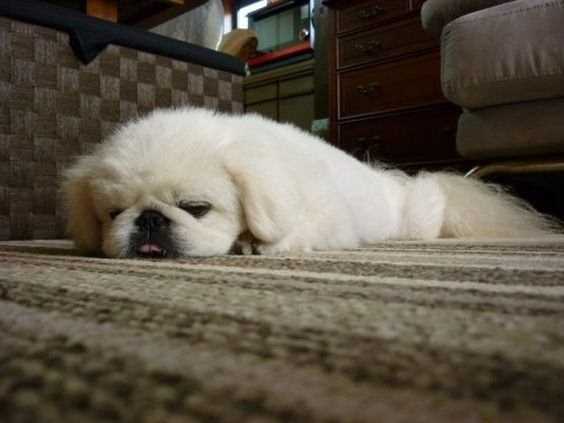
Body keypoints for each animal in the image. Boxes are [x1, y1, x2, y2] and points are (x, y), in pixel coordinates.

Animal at [60, 107, 556, 258]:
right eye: (113, 214)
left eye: (195, 208)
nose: (147, 220)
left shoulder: (330, 221)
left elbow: (290, 230)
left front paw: (253, 241)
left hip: (419, 218)